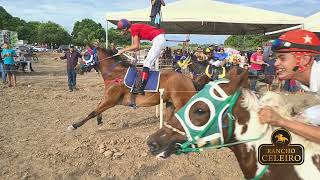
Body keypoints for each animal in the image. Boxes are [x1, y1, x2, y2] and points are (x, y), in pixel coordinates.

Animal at [67, 47, 205, 129]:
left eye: (85, 55)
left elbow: (93, 112)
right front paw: (99, 119)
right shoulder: (107, 98)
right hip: (170, 103)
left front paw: (74, 125)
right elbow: (97, 108)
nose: (76, 68)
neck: (115, 74)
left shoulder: (111, 100)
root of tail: (189, 79)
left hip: (182, 101)